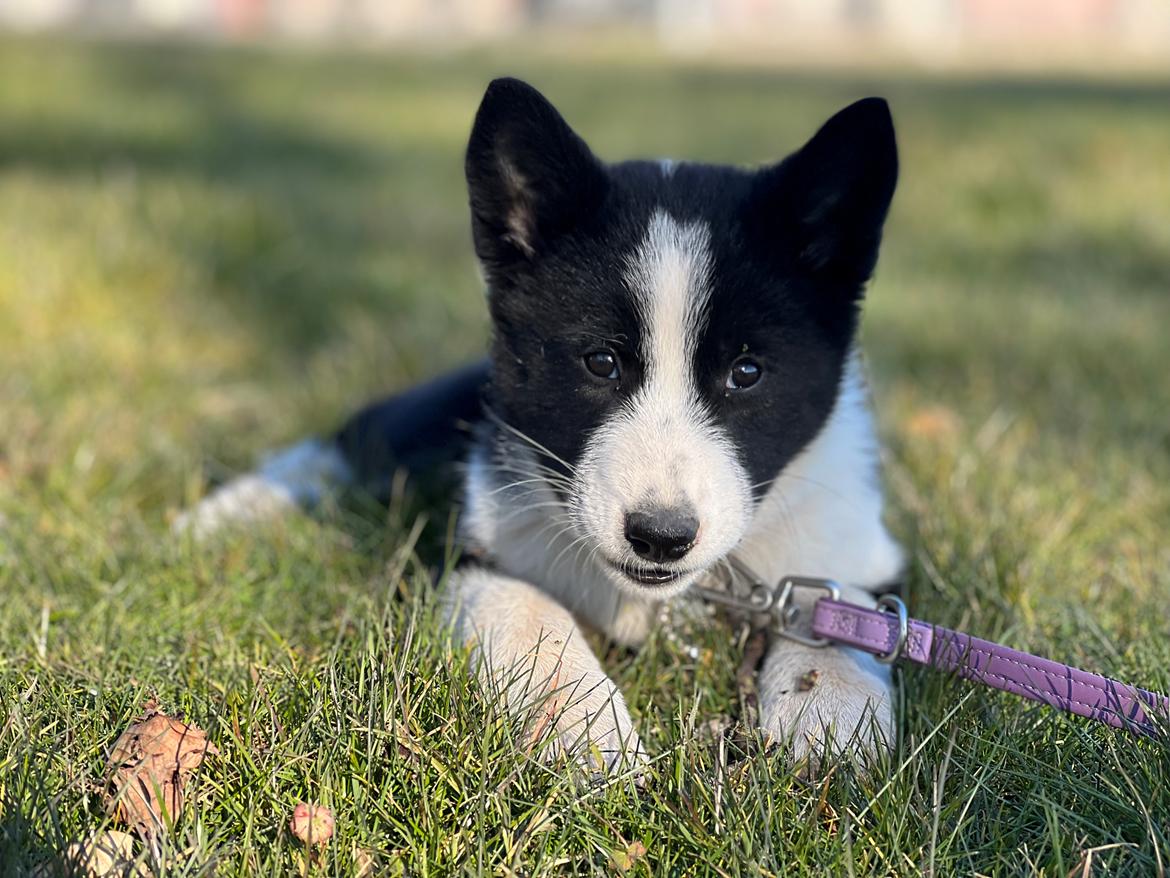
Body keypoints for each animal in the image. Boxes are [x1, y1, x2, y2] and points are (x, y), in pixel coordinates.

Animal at [175, 79, 903, 772]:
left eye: (747, 372)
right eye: (601, 362)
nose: (661, 538)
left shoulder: (854, 548)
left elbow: (847, 612)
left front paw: (832, 718)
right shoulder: (469, 549)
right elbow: (527, 606)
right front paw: (589, 734)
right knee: (348, 439)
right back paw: (218, 518)